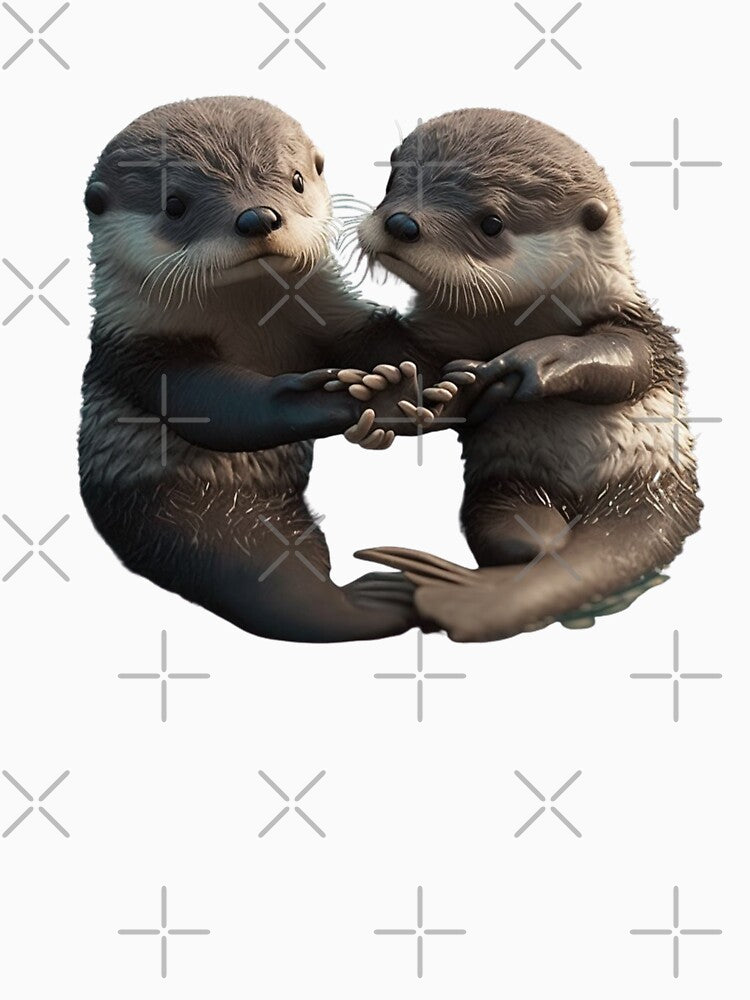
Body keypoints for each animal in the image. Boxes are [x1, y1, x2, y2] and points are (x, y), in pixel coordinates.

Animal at [78, 96, 475, 643]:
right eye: (174, 204)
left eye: (296, 179)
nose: (258, 216)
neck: (254, 325)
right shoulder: (144, 352)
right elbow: (218, 408)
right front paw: (338, 399)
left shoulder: (334, 314)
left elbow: (380, 337)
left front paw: (427, 385)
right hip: (191, 519)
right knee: (276, 587)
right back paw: (380, 599)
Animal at [344, 108, 701, 641]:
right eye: (394, 180)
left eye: (492, 223)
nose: (402, 222)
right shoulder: (437, 337)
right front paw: (388, 391)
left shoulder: (640, 325)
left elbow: (628, 357)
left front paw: (532, 361)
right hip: (505, 484)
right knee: (533, 536)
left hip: (653, 486)